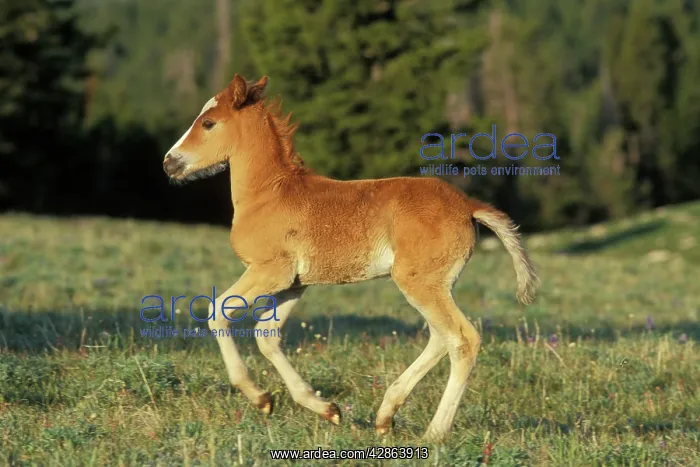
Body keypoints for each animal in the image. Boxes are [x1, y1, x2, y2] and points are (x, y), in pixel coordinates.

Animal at [162, 74, 540, 442]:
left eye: (208, 122)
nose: (169, 162)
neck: (269, 194)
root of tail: (468, 206)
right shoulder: (294, 284)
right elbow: (267, 335)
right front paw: (324, 408)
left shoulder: (270, 271)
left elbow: (216, 313)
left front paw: (259, 397)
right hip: (432, 284)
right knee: (439, 337)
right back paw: (385, 416)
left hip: (419, 282)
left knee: (462, 340)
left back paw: (434, 432)